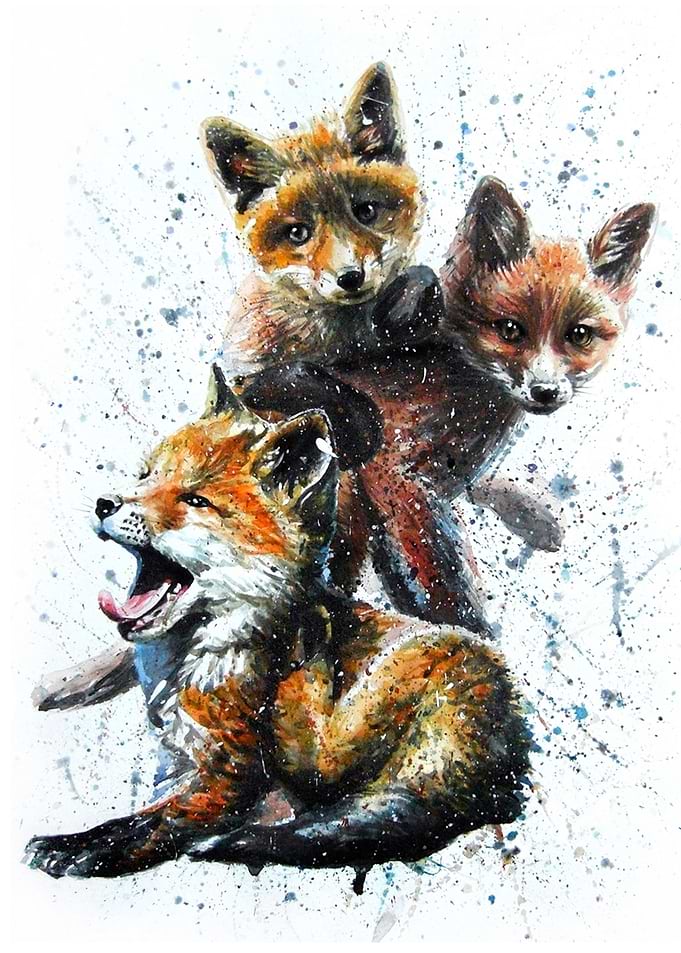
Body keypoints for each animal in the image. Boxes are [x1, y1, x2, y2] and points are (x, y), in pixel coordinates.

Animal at [26, 368, 530, 884]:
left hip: (360, 718)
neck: (202, 661)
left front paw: (77, 848)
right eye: (147, 476)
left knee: (357, 806)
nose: (105, 503)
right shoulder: (180, 761)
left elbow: (146, 825)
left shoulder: (222, 778)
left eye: (196, 500)